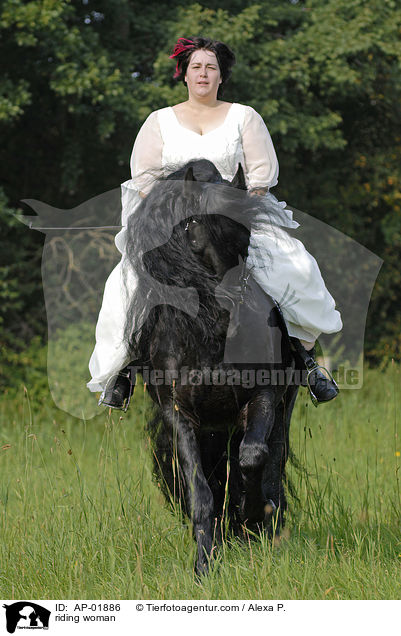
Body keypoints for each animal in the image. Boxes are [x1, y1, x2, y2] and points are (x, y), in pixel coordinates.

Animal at [123, 160, 298, 576]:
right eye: (196, 231)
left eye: (246, 236)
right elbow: (200, 490)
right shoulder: (180, 415)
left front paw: (253, 516)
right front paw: (204, 563)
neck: (209, 336)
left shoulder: (262, 397)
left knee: (269, 463)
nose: (235, 312)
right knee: (214, 481)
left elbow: (253, 457)